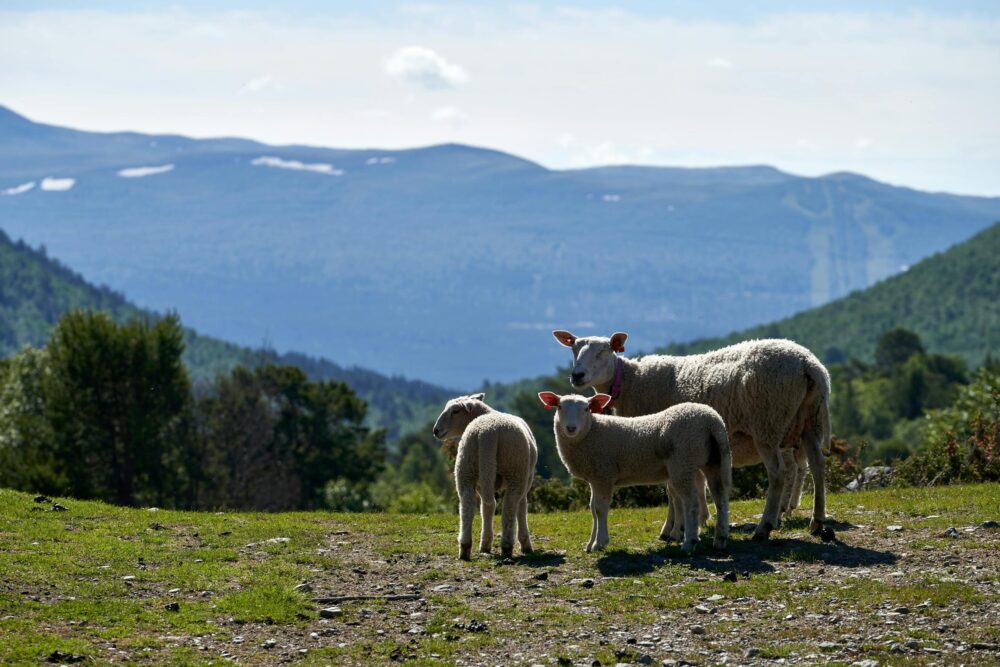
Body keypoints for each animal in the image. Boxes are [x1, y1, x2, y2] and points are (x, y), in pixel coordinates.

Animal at [432, 393, 538, 561]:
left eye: (455, 411)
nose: (435, 430)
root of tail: (487, 433)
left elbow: (485, 508)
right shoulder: (528, 478)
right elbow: (522, 508)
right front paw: (525, 544)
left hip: (466, 466)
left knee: (469, 505)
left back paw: (467, 547)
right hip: (515, 469)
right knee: (509, 506)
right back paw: (506, 546)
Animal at [537, 392, 731, 554]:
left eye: (586, 409)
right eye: (559, 407)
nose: (571, 428)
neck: (591, 432)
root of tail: (711, 420)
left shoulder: (603, 474)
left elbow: (599, 509)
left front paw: (600, 543)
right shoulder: (596, 477)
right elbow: (592, 508)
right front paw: (590, 544)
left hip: (684, 460)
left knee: (691, 502)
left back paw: (689, 543)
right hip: (713, 460)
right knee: (720, 498)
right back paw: (720, 539)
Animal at [552, 330, 831, 540]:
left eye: (603, 351)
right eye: (574, 350)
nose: (577, 375)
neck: (632, 382)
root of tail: (809, 364)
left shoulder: (663, 442)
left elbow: (671, 490)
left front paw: (672, 529)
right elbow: (697, 484)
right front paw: (697, 521)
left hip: (768, 422)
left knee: (779, 472)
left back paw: (766, 526)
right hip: (809, 420)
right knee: (817, 465)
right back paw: (817, 521)